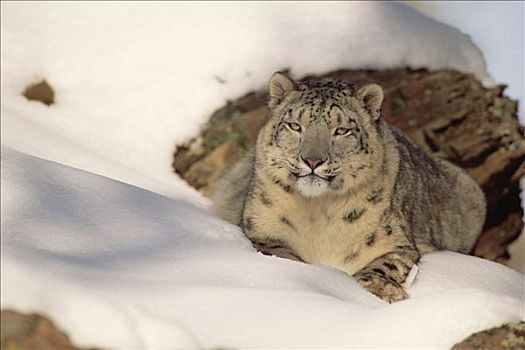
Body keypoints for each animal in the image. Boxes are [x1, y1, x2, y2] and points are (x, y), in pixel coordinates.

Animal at [210, 72, 488, 304]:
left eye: (342, 130)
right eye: (294, 126)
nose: (313, 160)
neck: (316, 211)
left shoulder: (396, 243)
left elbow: (387, 264)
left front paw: (381, 288)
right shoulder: (263, 229)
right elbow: (280, 254)